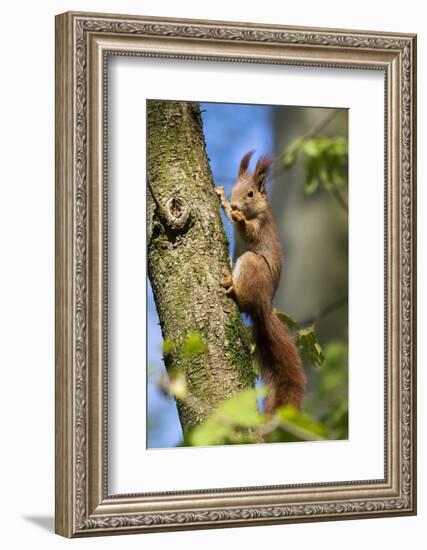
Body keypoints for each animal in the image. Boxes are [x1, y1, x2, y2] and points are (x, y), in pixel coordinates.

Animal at [216, 151, 306, 414]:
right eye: (235, 189)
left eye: (251, 194)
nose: (236, 205)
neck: (254, 212)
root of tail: (264, 304)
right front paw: (223, 198)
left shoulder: (260, 226)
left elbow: (249, 231)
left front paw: (237, 216)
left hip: (251, 264)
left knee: (244, 300)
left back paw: (233, 286)